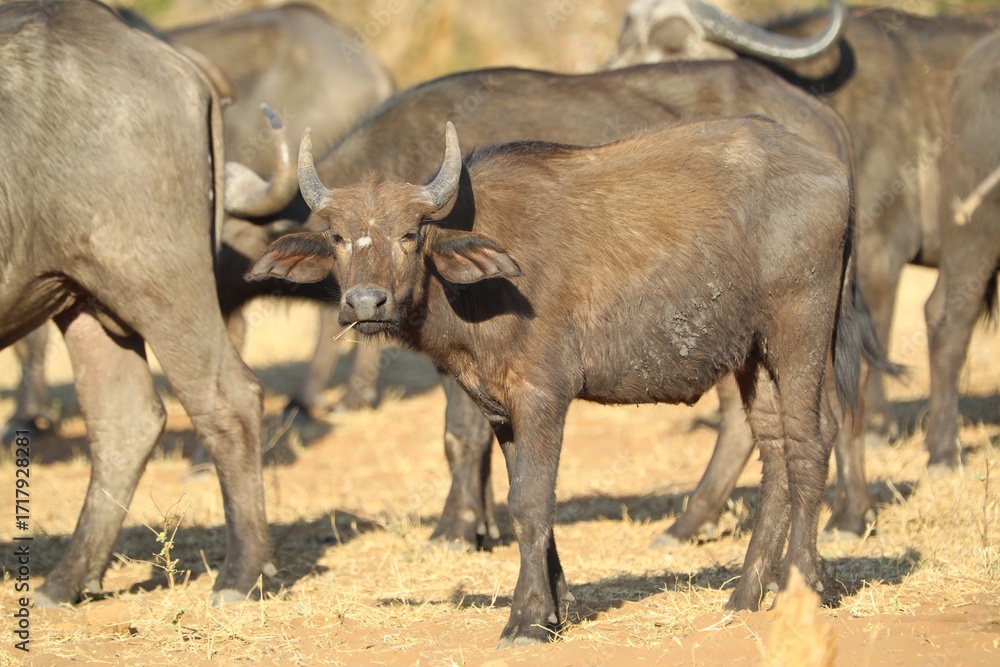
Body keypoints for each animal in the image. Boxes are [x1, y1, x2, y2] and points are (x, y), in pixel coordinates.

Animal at [0, 0, 281, 606]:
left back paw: (240, 575)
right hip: (81, 297)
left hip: (159, 282)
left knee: (230, 399)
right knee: (123, 419)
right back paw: (66, 580)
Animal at [247, 115, 859, 647]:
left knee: (810, 441)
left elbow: (530, 503)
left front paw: (525, 619)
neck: (479, 284)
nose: (365, 303)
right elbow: (526, 499)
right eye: (338, 237)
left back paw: (800, 585)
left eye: (409, 234)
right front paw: (556, 608)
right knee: (775, 448)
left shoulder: (542, 397)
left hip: (798, 331)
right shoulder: (499, 408)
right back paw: (746, 594)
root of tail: (836, 173)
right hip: (753, 354)